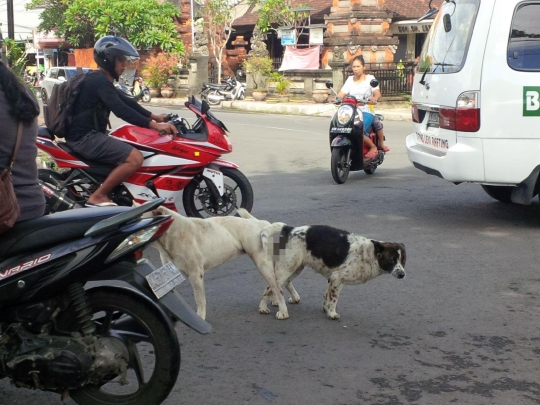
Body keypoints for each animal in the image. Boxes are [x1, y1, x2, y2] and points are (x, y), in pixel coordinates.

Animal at [150, 207, 280, 320]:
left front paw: (200, 317)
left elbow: (199, 299)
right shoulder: (169, 275)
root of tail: (259, 222)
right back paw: (275, 300)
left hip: (262, 263)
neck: (172, 232)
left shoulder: (195, 275)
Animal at [258, 221, 404, 318]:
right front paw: (332, 313)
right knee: (269, 288)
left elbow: (328, 296)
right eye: (392, 260)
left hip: (295, 269)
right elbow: (333, 298)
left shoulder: (335, 280)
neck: (367, 254)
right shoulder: (337, 278)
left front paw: (326, 309)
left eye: (403, 261)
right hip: (286, 270)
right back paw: (263, 308)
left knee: (279, 286)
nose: (402, 274)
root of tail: (290, 229)